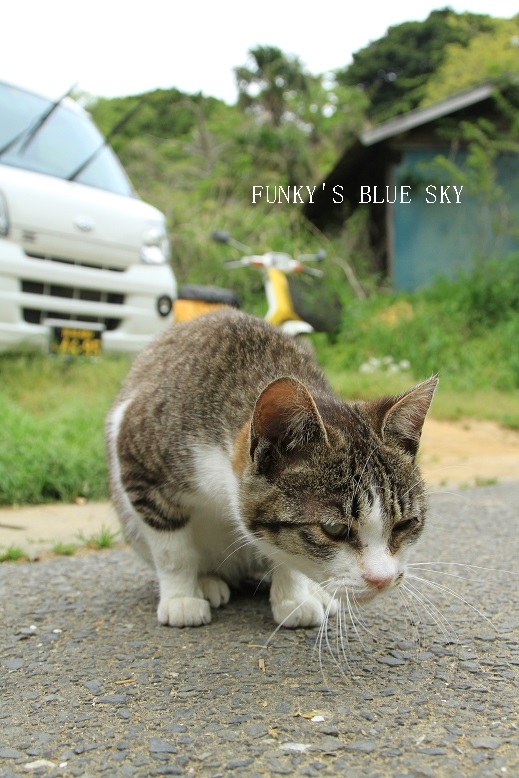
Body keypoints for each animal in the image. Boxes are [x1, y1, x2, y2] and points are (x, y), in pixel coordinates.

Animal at [105, 306, 438, 628]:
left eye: (405, 524)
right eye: (334, 529)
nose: (382, 580)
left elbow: (285, 551)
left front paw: (294, 598)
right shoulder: (138, 455)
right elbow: (172, 550)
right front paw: (181, 598)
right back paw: (208, 582)